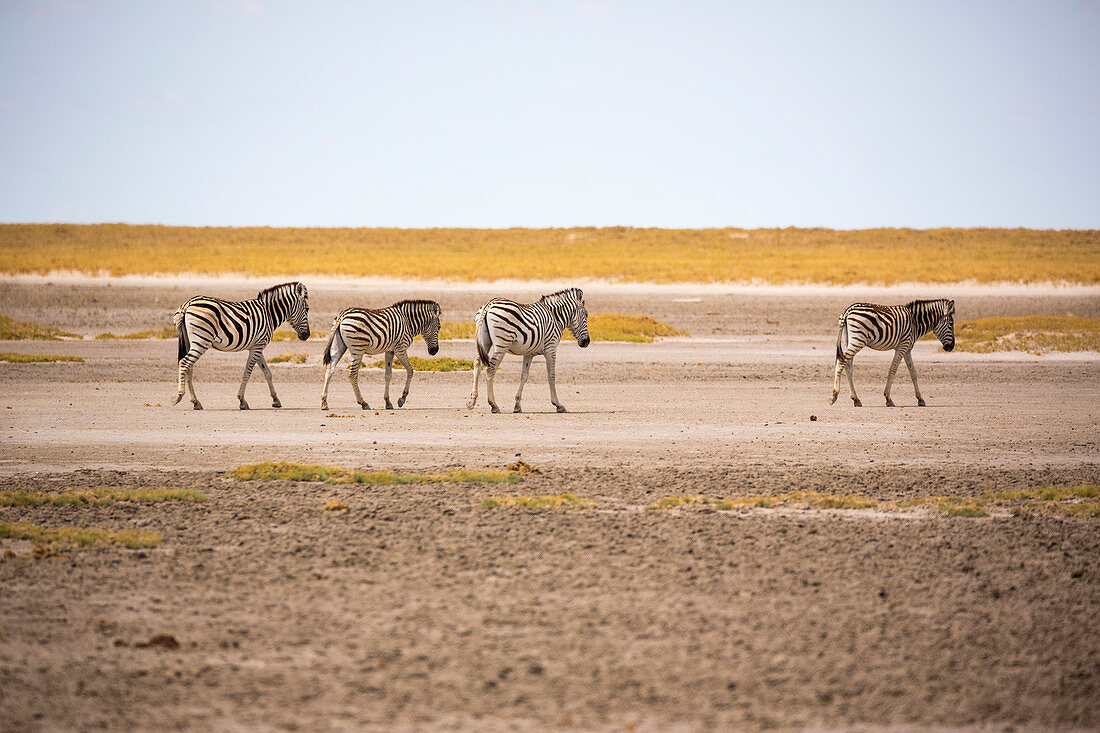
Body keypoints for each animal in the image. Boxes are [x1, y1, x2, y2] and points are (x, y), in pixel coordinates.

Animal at [169, 279, 312, 407]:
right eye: (307, 309)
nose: (306, 336)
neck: (269, 313)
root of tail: (187, 304)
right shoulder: (258, 346)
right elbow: (247, 372)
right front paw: (242, 401)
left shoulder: (257, 346)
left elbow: (267, 373)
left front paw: (275, 400)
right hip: (201, 341)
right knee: (184, 363)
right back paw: (178, 396)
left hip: (190, 341)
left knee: (189, 367)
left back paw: (196, 402)